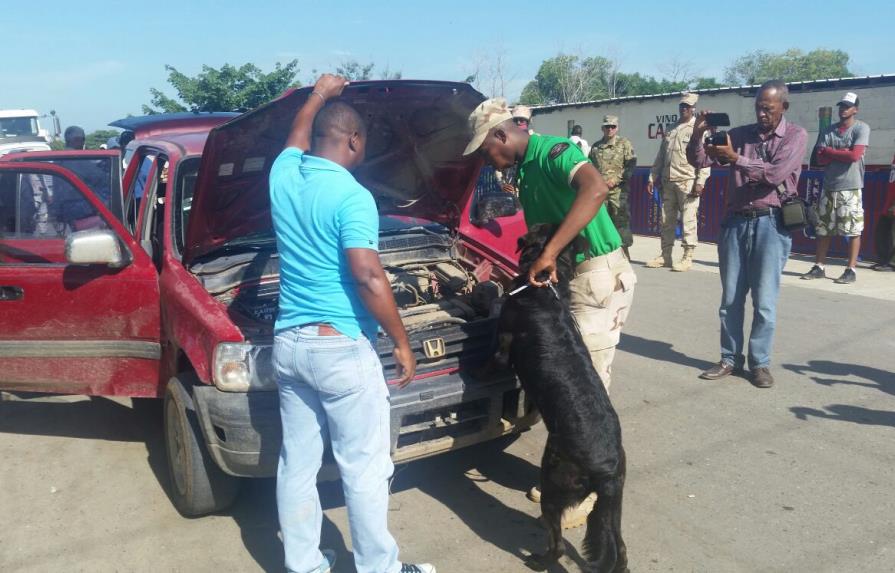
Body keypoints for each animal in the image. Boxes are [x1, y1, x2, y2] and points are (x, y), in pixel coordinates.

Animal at [494, 225, 628, 572]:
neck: (546, 290)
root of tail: (607, 471)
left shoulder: (503, 343)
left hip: (555, 483)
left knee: (557, 545)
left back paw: (539, 561)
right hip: (613, 507)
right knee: (620, 549)